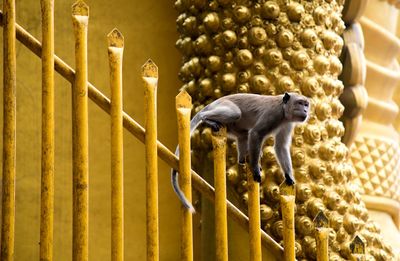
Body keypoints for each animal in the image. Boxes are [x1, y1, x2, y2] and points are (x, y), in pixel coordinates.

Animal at [171, 91, 310, 211]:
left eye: (306, 104)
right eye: (300, 103)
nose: (305, 110)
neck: (284, 110)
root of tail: (213, 103)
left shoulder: (287, 123)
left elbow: (281, 146)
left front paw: (288, 176)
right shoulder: (273, 114)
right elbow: (256, 133)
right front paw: (255, 168)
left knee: (243, 134)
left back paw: (242, 160)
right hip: (224, 107)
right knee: (235, 113)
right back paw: (205, 118)